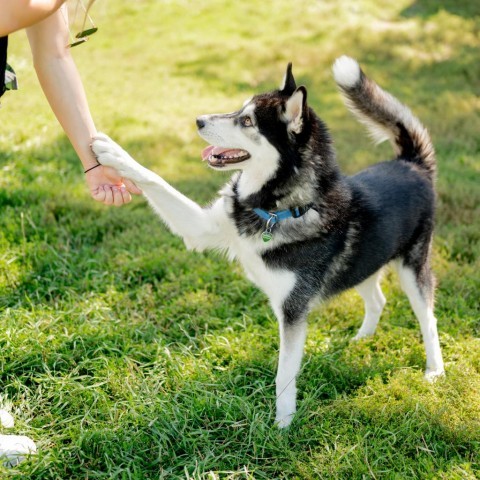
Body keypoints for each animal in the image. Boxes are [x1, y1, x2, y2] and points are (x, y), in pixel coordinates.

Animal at [92, 56, 444, 428]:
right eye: (239, 109)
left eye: (247, 121)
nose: (198, 120)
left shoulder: (292, 311)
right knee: (377, 299)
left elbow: (284, 374)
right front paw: (112, 152)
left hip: (412, 268)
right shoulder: (203, 227)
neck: (275, 210)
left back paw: (434, 370)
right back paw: (361, 339)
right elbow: (155, 179)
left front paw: (283, 425)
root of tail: (411, 165)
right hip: (363, 262)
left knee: (428, 319)